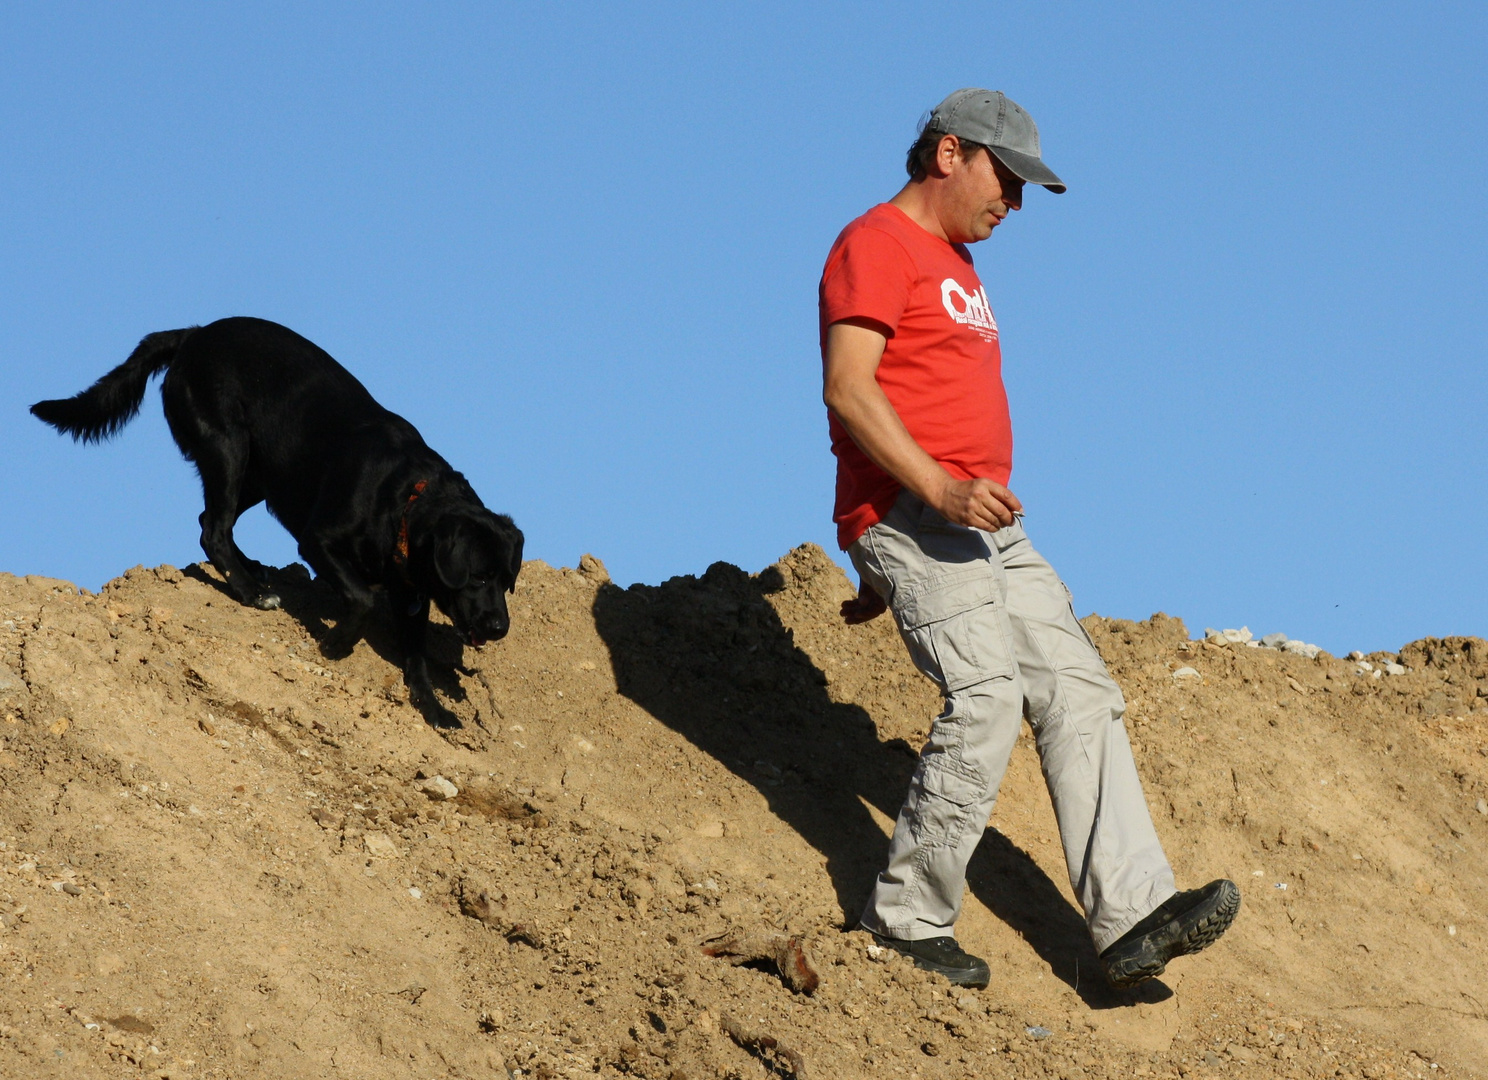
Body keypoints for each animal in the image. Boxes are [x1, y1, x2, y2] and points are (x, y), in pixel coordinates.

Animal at [31, 315, 526, 720]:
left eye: (507, 581)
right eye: (479, 577)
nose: (500, 629)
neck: (404, 498)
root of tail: (194, 334)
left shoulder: (411, 592)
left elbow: (416, 652)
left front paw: (434, 707)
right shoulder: (318, 541)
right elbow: (363, 599)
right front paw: (336, 644)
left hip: (261, 474)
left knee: (211, 520)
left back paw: (250, 570)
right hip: (229, 448)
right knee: (212, 528)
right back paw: (252, 593)